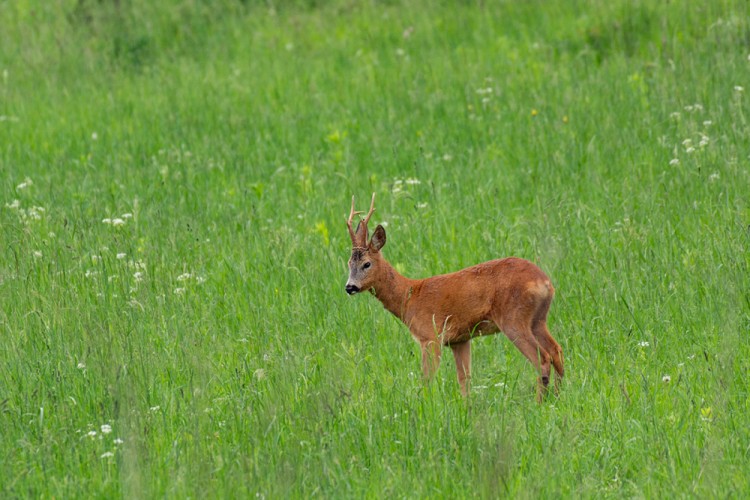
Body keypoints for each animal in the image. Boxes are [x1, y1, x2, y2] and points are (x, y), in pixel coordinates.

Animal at [346, 193, 564, 400]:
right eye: (348, 263)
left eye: (366, 264)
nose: (349, 287)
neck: (408, 296)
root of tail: (545, 283)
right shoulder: (460, 340)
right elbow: (464, 380)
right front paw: (467, 408)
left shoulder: (430, 336)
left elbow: (427, 380)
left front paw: (426, 406)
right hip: (538, 320)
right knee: (557, 351)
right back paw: (558, 396)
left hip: (513, 319)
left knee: (543, 359)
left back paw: (539, 402)